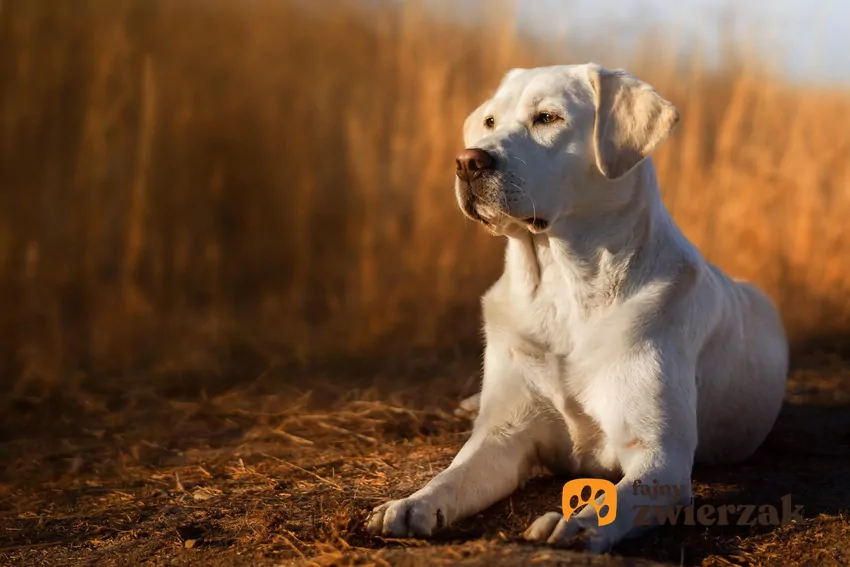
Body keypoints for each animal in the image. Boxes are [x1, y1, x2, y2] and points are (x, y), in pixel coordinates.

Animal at [366, 64, 788, 552]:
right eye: (490, 121)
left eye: (547, 118)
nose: (467, 161)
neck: (562, 291)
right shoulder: (503, 434)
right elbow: (451, 477)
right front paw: (410, 505)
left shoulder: (659, 457)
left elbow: (615, 499)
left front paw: (574, 524)